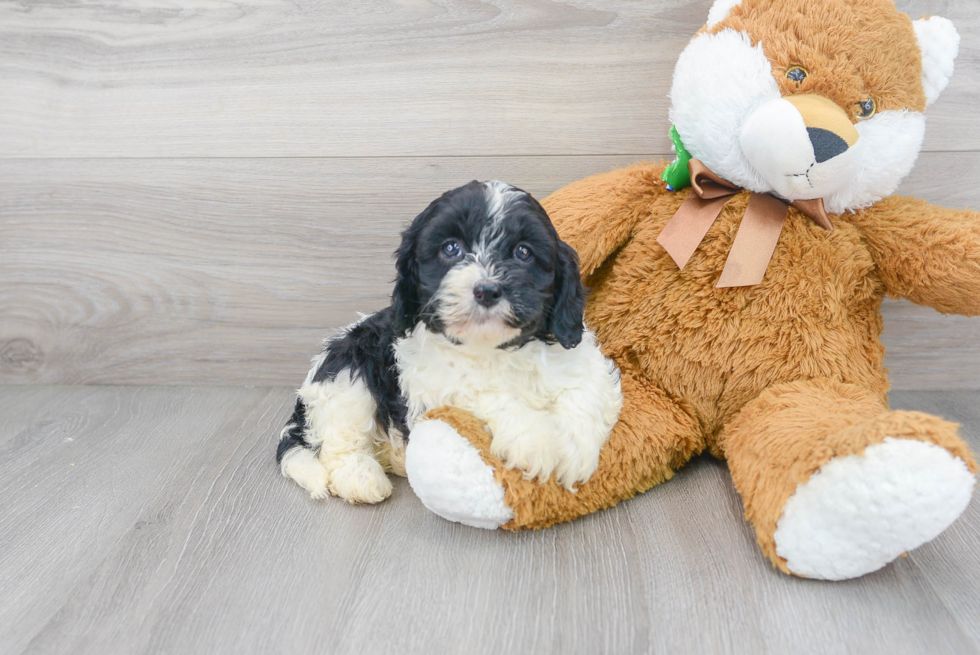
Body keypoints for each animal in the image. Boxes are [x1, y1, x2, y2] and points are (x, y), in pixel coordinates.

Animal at [276, 182, 620, 504]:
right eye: (451, 248)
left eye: (523, 252)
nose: (487, 290)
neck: (494, 349)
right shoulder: (435, 385)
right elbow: (483, 392)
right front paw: (535, 440)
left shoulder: (584, 361)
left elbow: (584, 391)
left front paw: (575, 450)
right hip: (346, 370)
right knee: (339, 443)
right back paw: (361, 477)